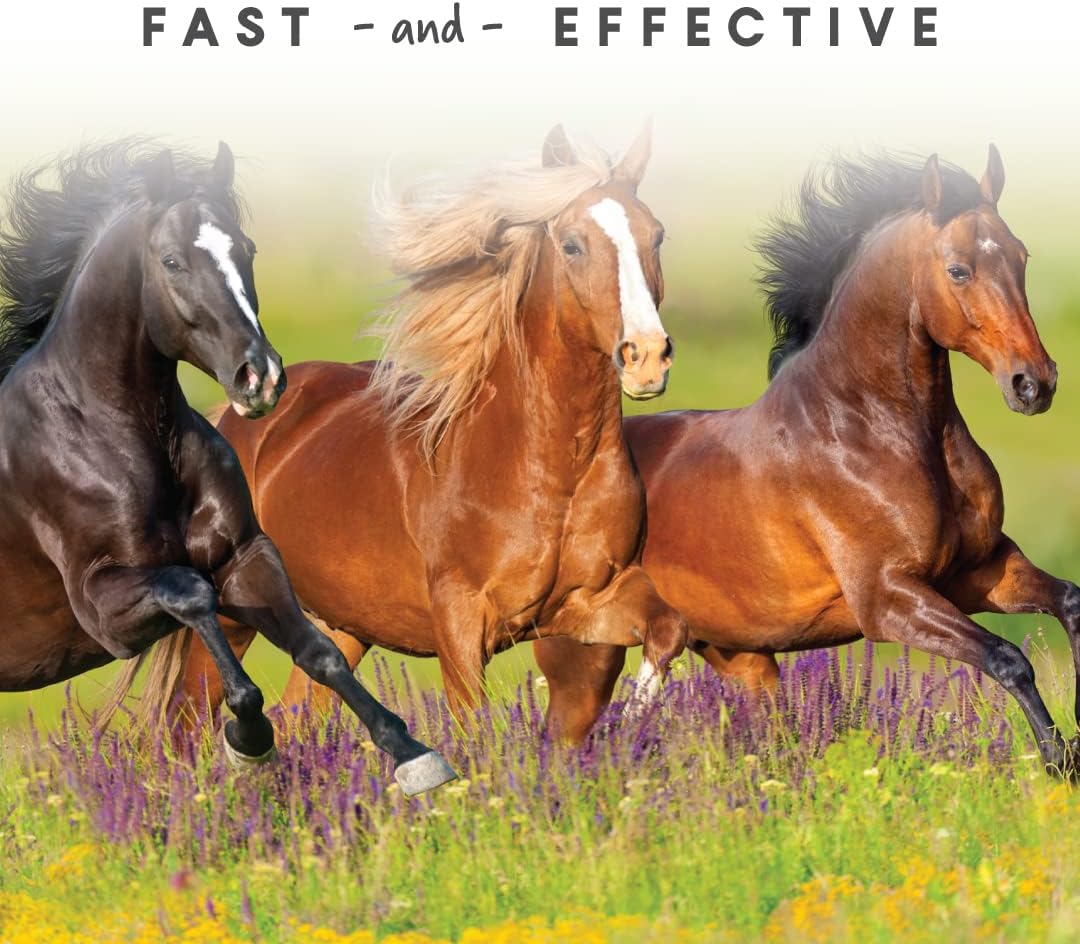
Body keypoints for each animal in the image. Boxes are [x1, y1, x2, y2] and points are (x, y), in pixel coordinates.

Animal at [0, 141, 454, 795]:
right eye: (171, 260)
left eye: (248, 249)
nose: (259, 376)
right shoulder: (102, 607)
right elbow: (192, 594)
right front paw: (249, 737)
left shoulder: (244, 557)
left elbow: (319, 651)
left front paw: (413, 754)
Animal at [154, 124, 689, 730]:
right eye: (573, 244)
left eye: (657, 236)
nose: (646, 357)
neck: (550, 469)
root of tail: (228, 423)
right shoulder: (461, 623)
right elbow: (474, 726)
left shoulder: (589, 601)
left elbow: (668, 629)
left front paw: (633, 724)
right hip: (235, 608)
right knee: (185, 719)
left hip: (344, 622)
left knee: (298, 712)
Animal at [536, 147, 1080, 774]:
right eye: (959, 270)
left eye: (1021, 256)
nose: (1034, 384)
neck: (869, 429)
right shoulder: (888, 599)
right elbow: (1007, 657)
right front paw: (1059, 758)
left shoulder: (980, 570)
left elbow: (1070, 601)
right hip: (587, 657)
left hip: (743, 658)